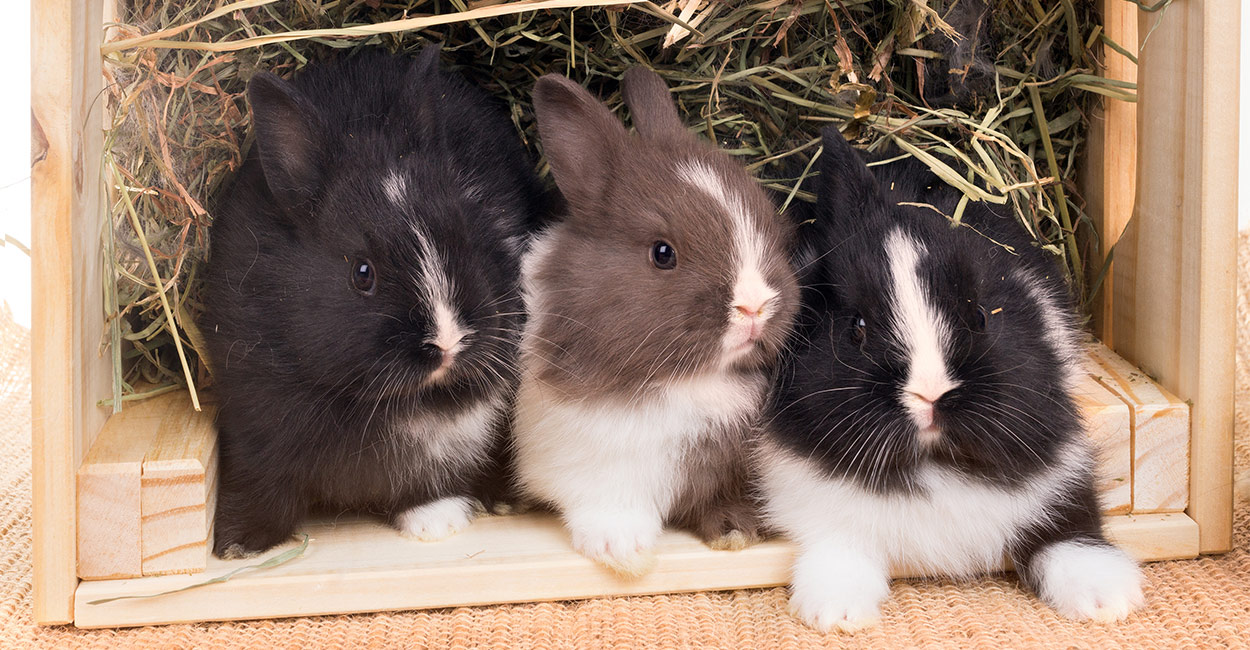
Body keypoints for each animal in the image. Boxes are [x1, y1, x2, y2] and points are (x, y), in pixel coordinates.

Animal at [200, 46, 544, 558]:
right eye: (362, 273)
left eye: (465, 237)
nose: (447, 343)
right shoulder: (252, 430)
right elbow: (263, 485)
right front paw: (238, 545)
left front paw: (436, 521)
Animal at [512, 67, 800, 576]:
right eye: (663, 253)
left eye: (773, 230)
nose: (755, 306)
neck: (689, 381)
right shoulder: (590, 461)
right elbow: (608, 503)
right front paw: (622, 550)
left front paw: (736, 531)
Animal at [759, 126, 1145, 631]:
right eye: (856, 327)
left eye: (980, 316)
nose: (930, 394)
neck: (934, 464)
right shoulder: (821, 508)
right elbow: (841, 549)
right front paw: (837, 614)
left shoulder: (1059, 483)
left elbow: (1068, 532)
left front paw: (1107, 599)